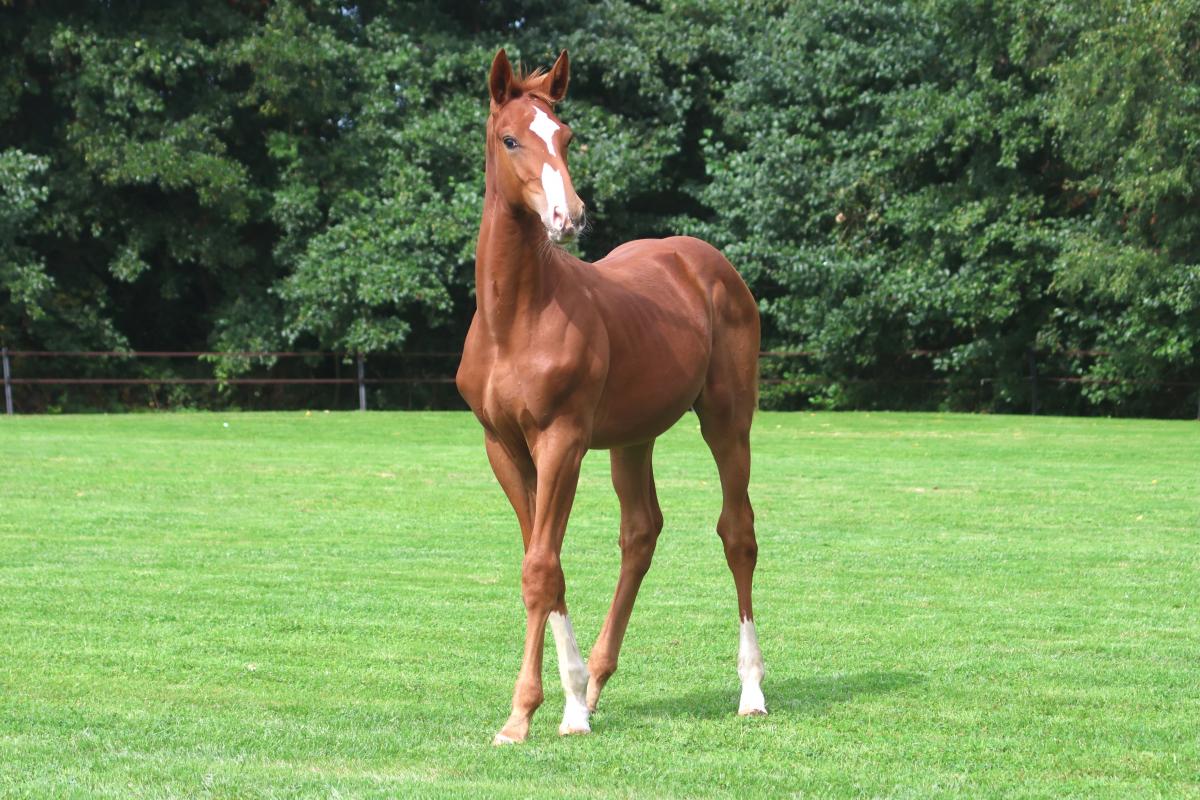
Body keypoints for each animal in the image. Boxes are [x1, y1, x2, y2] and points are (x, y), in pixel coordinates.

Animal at [456, 48, 765, 744]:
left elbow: (541, 568)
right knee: (640, 533)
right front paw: (568, 703)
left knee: (738, 533)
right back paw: (595, 686)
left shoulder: (563, 442)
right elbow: (543, 563)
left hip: (727, 421)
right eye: (510, 139)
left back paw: (752, 690)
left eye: (566, 136)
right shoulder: (503, 447)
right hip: (632, 438)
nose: (568, 217)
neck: (516, 318)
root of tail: (707, 262)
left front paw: (523, 715)